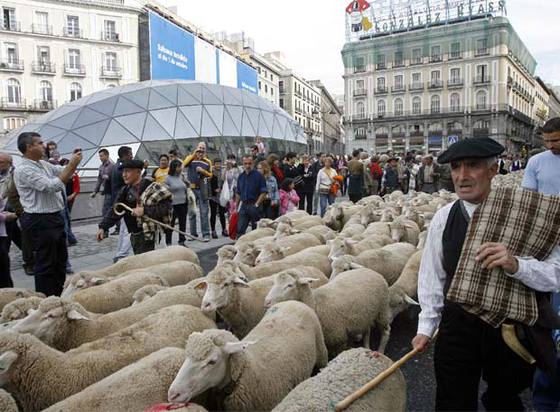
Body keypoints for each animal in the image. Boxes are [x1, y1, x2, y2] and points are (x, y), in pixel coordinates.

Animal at [166, 300, 328, 408]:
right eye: (186, 357)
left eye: (212, 361)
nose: (173, 394)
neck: (247, 370)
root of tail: (294, 301)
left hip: (321, 352)